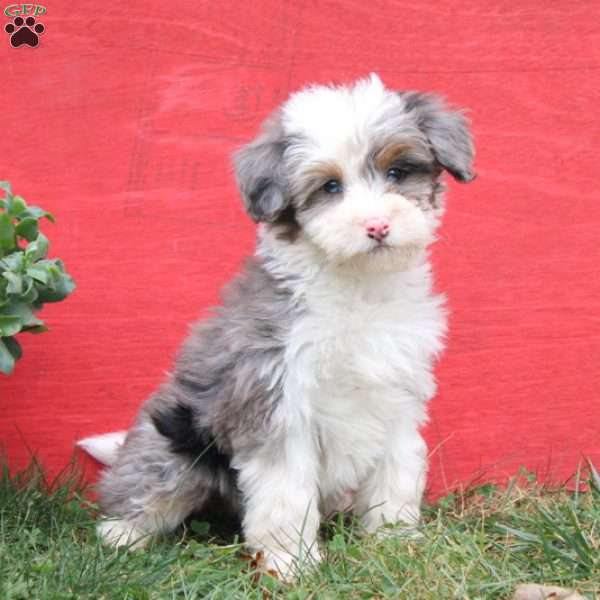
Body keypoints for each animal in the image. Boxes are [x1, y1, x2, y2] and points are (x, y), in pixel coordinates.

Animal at [88, 72, 474, 580]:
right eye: (329, 187)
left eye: (396, 172)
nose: (377, 226)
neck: (357, 287)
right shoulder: (275, 401)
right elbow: (286, 493)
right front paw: (291, 563)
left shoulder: (398, 395)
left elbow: (397, 472)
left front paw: (395, 542)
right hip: (173, 444)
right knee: (144, 491)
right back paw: (123, 535)